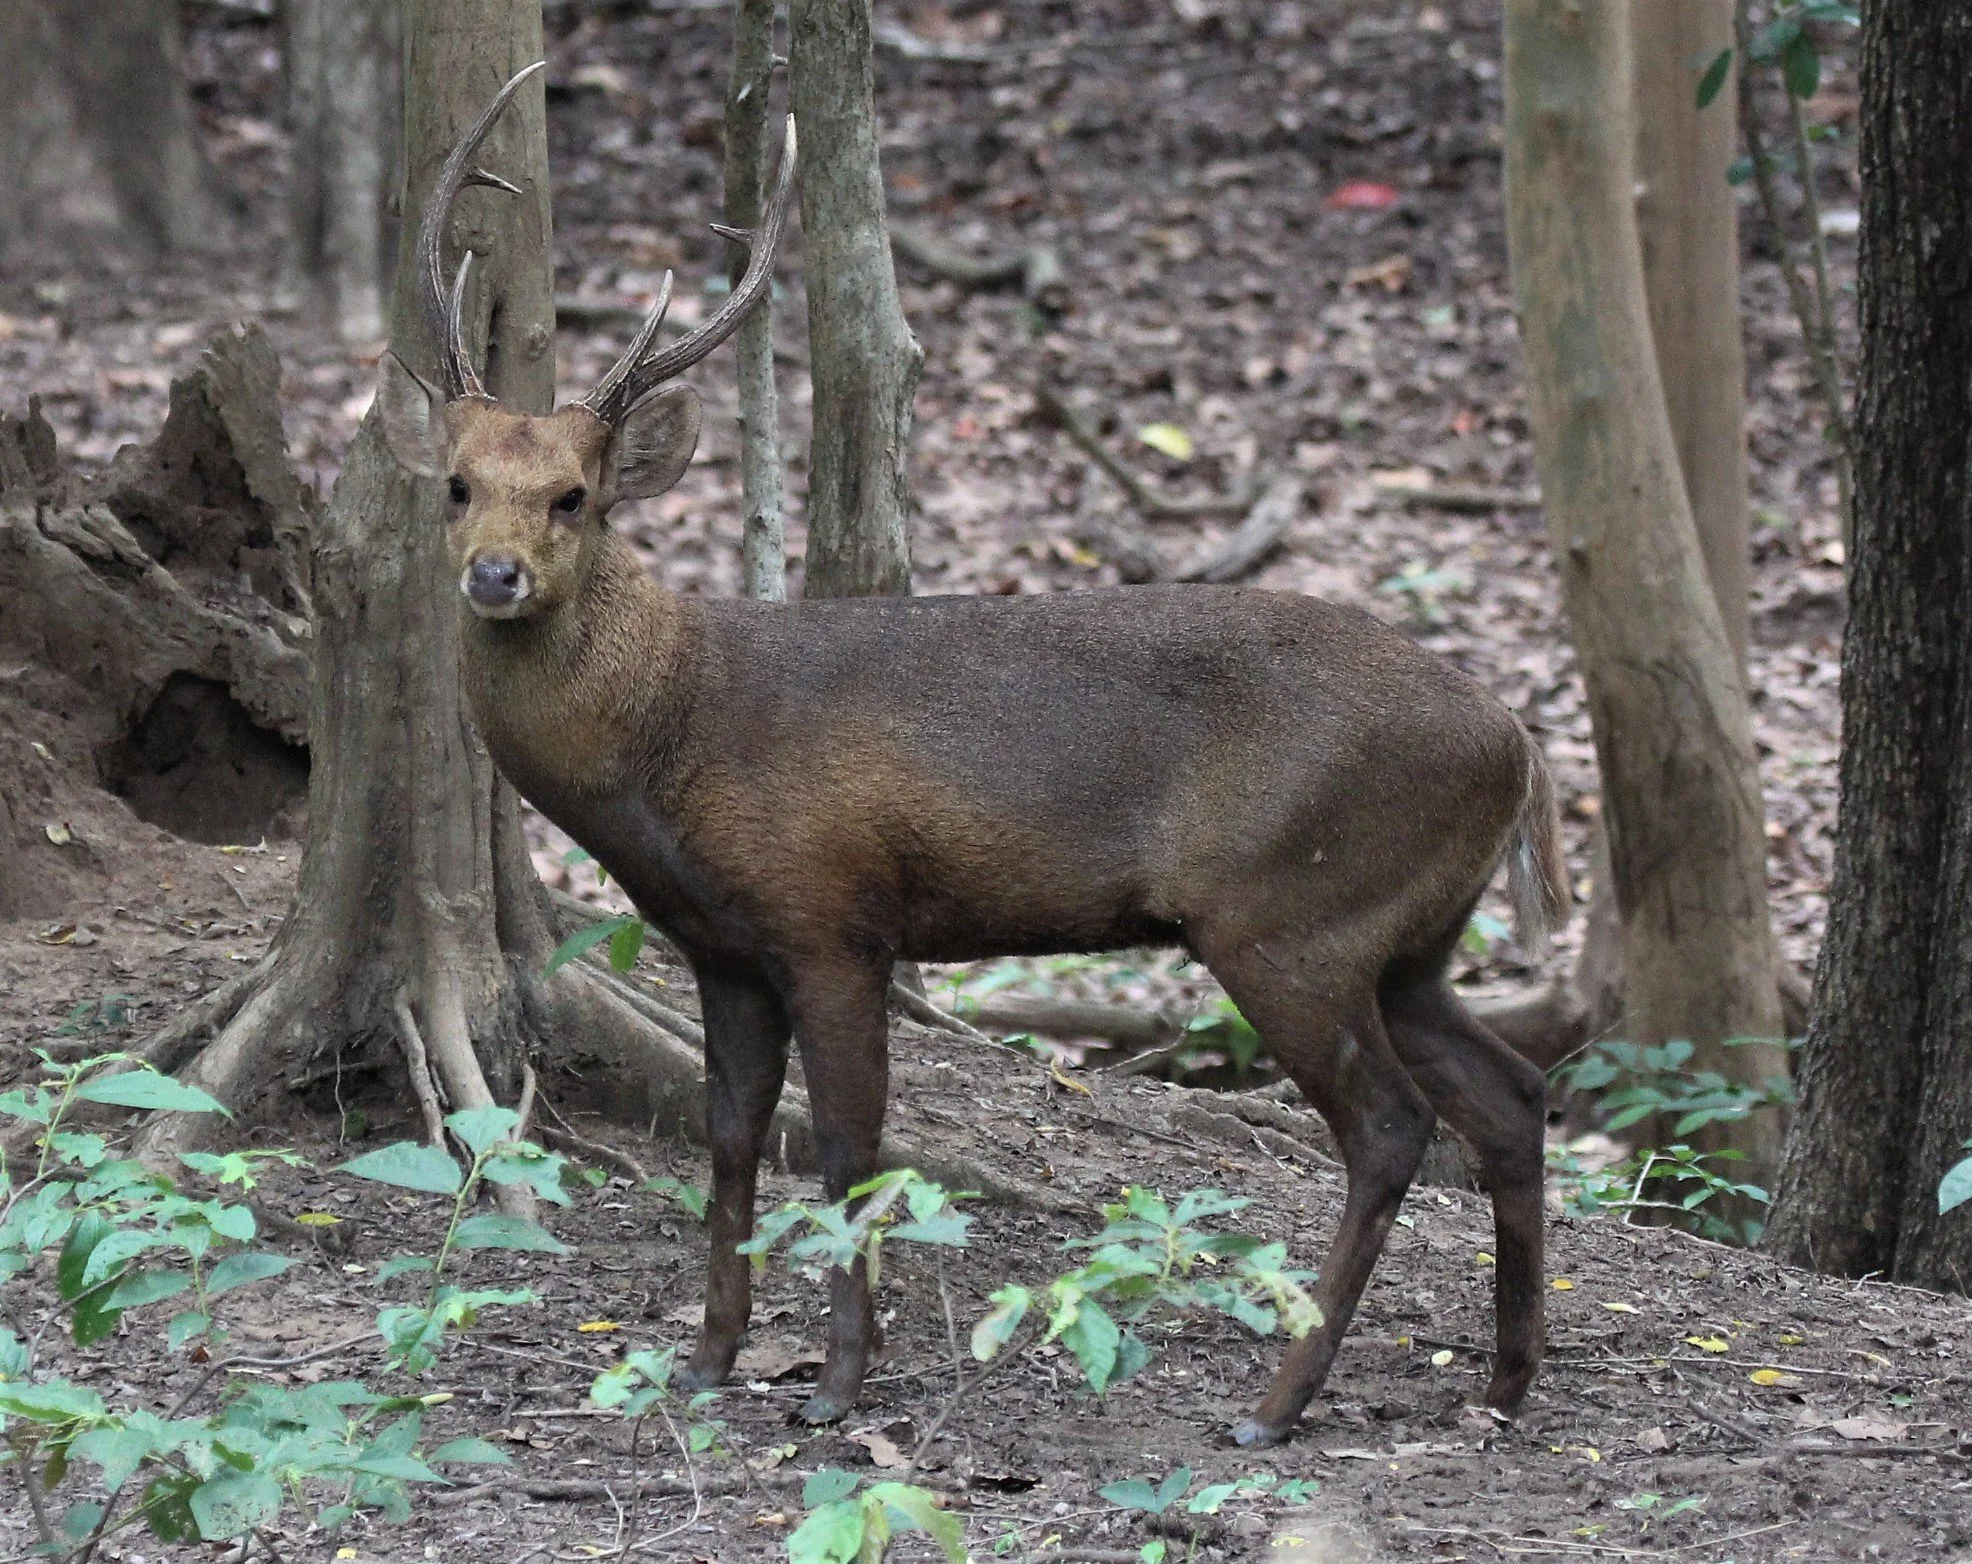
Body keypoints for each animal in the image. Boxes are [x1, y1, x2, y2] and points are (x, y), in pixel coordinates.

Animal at [378, 65, 1570, 1448]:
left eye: (575, 495)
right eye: (458, 485)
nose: (495, 575)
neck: (673, 743)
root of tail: (1519, 744)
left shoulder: (832, 914)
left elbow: (848, 1145)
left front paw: (837, 1383)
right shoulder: (722, 946)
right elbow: (732, 1141)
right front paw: (710, 1360)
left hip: (1291, 909)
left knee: (1388, 1124)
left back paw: (1272, 1404)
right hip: (1406, 933)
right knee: (1511, 1091)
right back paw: (1503, 1378)